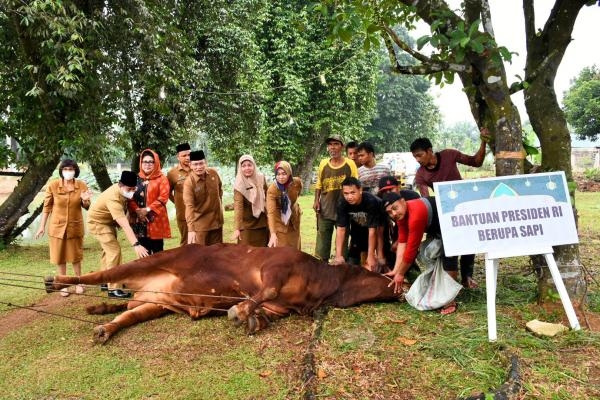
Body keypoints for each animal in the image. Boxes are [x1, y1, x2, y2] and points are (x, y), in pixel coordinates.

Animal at [44, 244, 400, 344]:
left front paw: (253, 320)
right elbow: (263, 290)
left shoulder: (281, 308)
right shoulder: (277, 266)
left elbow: (265, 312)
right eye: (379, 273)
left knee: (129, 314)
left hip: (157, 304)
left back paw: (103, 325)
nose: (399, 285)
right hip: (154, 260)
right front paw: (238, 311)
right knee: (100, 275)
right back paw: (55, 281)